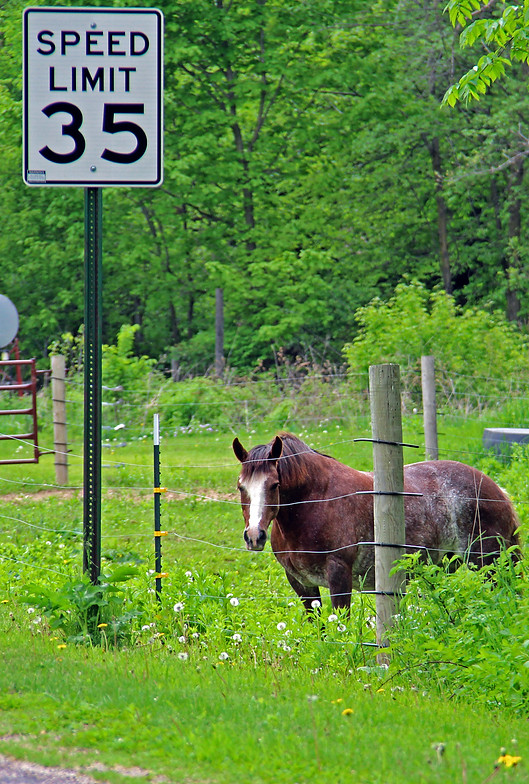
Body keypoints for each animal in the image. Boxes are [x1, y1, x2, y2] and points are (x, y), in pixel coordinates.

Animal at [232, 432, 521, 611]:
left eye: (274, 485)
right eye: (240, 486)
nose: (254, 536)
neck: (316, 503)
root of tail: (497, 490)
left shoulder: (339, 577)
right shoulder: (302, 583)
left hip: (487, 565)